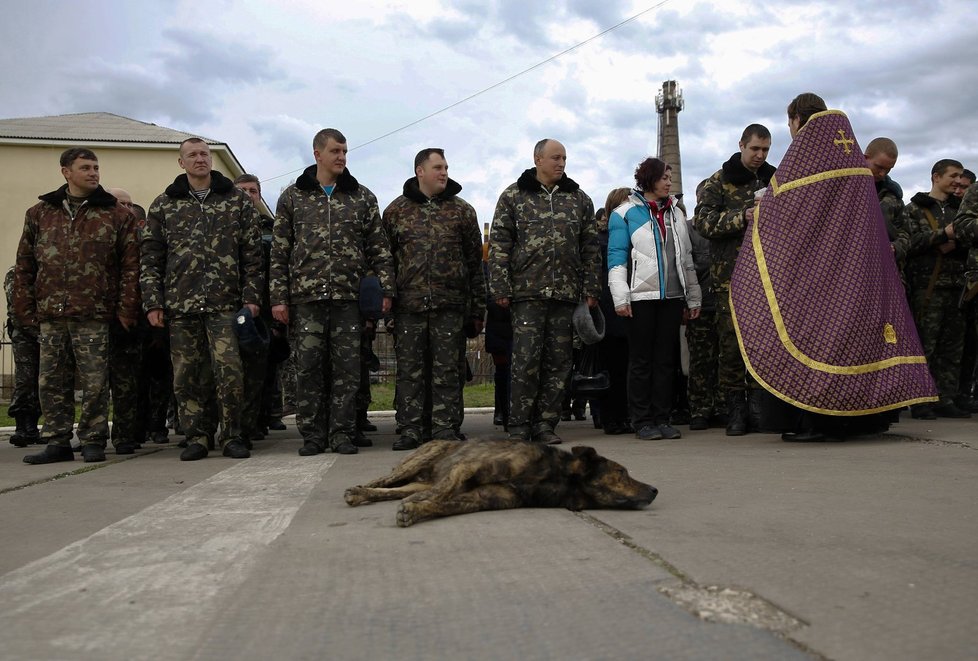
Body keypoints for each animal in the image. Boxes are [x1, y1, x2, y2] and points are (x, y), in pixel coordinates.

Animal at [344, 438, 656, 524]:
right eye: (622, 472)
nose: (655, 489)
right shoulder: (467, 467)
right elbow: (444, 491)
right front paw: (418, 503)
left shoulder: (481, 499)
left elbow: (443, 504)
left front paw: (415, 510)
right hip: (418, 460)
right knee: (384, 480)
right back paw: (356, 491)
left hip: (418, 480)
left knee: (391, 491)